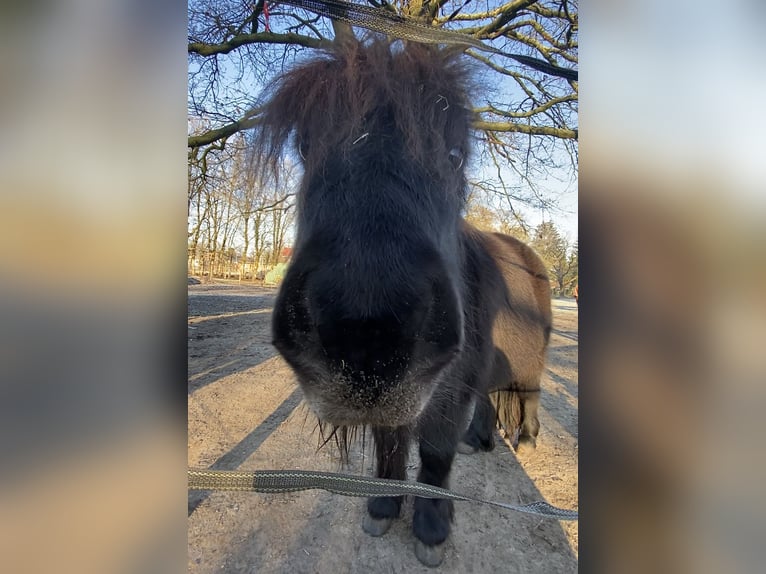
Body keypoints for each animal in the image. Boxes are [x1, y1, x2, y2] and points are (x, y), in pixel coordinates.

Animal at [256, 41, 552, 572]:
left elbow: (433, 455)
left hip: (528, 370)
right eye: (307, 148)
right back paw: (479, 440)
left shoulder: (446, 390)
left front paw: (432, 528)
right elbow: (389, 448)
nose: (366, 335)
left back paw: (528, 439)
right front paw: (383, 506)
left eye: (455, 155)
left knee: (529, 397)